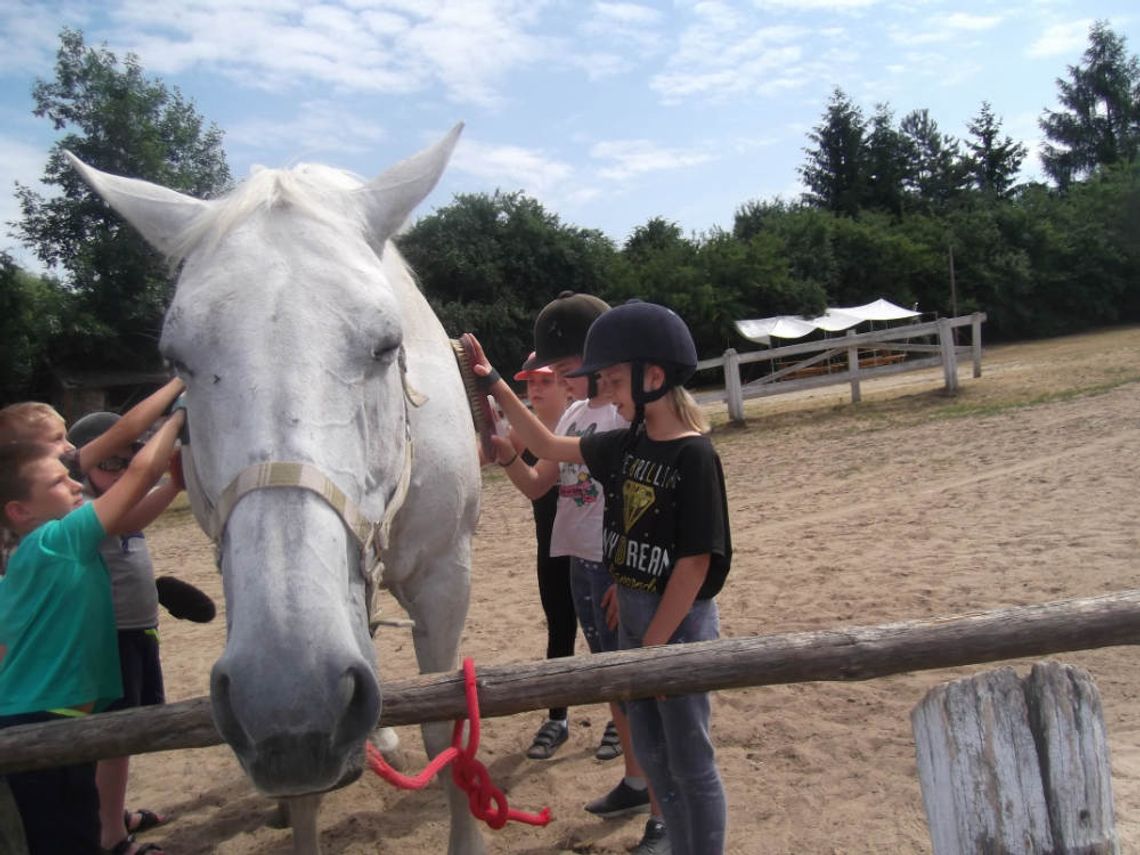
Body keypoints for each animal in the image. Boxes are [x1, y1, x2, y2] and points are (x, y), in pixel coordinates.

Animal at [66, 127, 485, 855]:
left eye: (387, 344)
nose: (291, 693)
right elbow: (308, 788)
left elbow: (447, 733)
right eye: (176, 360)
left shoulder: (445, 578)